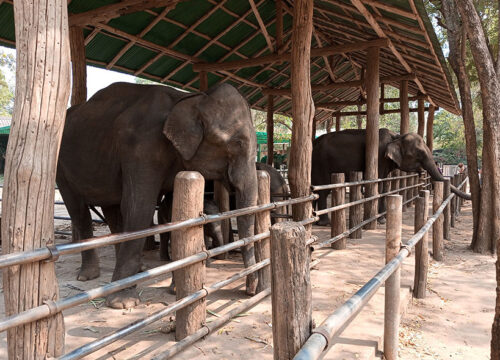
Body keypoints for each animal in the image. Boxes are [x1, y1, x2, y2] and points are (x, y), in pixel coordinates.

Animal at [57, 82, 260, 310]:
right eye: (236, 143)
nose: (250, 292)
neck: (188, 98)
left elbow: (174, 210)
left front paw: (176, 290)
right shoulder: (142, 148)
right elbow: (138, 207)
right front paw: (122, 303)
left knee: (112, 211)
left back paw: (135, 271)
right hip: (60, 167)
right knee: (78, 209)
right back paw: (89, 276)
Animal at [312, 129, 472, 225]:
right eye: (419, 154)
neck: (397, 136)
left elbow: (385, 184)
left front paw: (382, 218)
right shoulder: (379, 156)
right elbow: (380, 184)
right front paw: (381, 221)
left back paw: (315, 220)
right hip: (321, 162)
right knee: (323, 189)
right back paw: (324, 223)